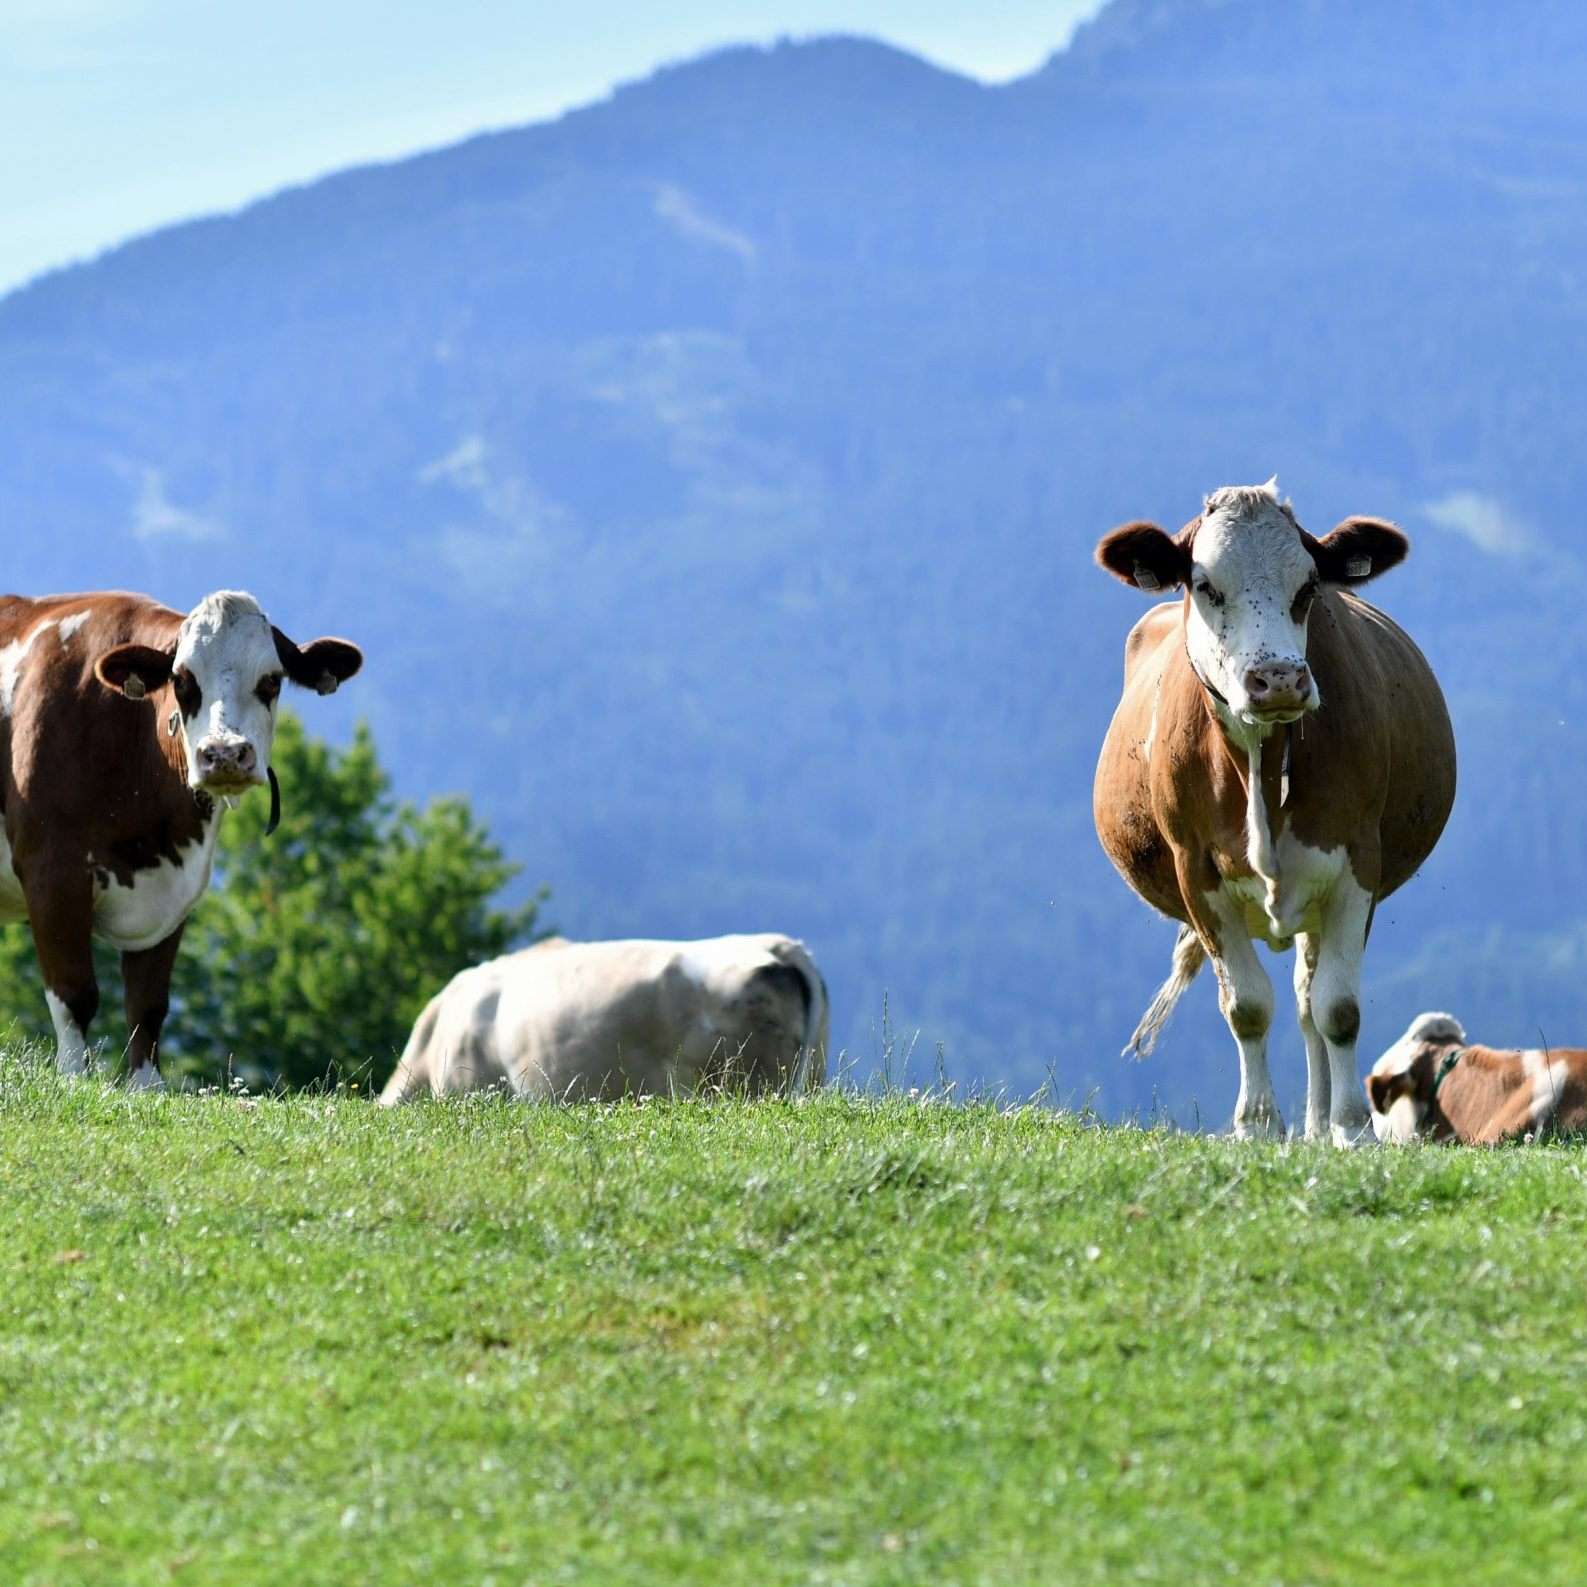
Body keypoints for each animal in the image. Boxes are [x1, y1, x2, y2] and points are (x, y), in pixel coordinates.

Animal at [0, 589, 362, 1088]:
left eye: (271, 681)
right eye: (182, 680)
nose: (225, 753)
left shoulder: (175, 887)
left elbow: (147, 1004)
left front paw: (147, 1087)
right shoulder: (51, 870)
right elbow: (74, 996)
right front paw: (72, 1081)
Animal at [1092, 481, 1456, 1144]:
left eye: (1308, 587)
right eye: (1205, 585)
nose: (1279, 678)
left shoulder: (1357, 863)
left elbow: (1337, 1007)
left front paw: (1351, 1128)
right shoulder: (1195, 870)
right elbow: (1247, 1006)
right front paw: (1258, 1125)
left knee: (1310, 999)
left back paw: (1318, 1125)